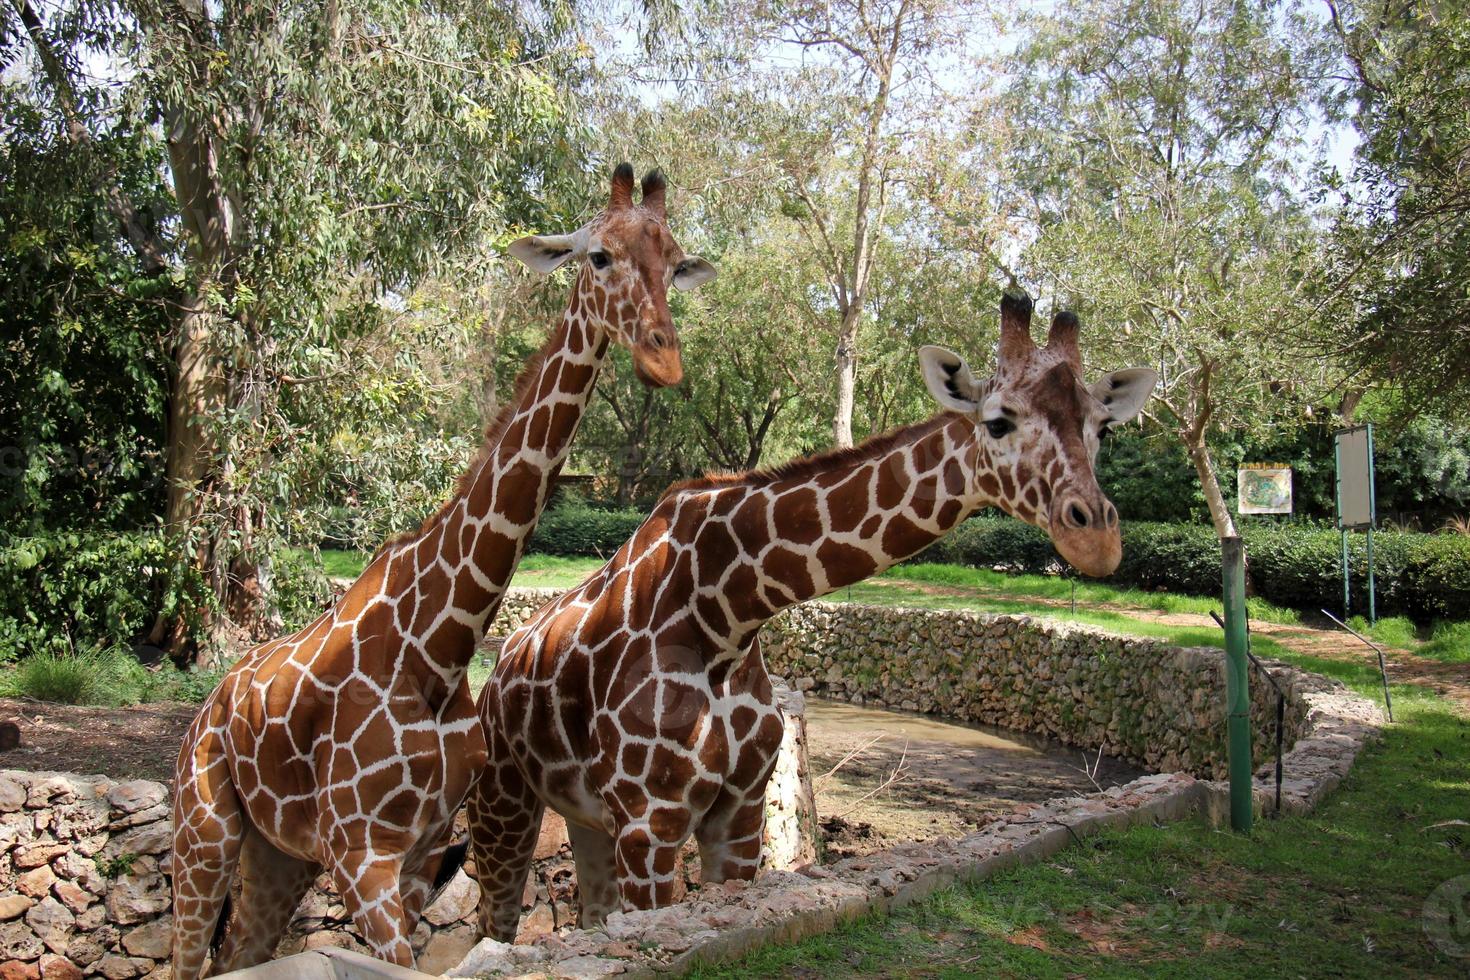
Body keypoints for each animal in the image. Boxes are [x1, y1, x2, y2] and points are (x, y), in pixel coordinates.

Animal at [166, 164, 717, 975]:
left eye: (676, 263)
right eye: (598, 256)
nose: (663, 360)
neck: (438, 645)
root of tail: (208, 704)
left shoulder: (418, 853)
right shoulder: (360, 855)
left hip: (278, 855)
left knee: (238, 952)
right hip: (203, 828)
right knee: (187, 951)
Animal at [464, 287, 1152, 940]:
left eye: (1102, 428)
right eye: (999, 422)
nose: (1097, 538)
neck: (727, 614)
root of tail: (498, 667)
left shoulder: (738, 812)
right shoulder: (649, 819)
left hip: (585, 816)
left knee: (591, 912)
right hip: (504, 799)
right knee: (495, 922)